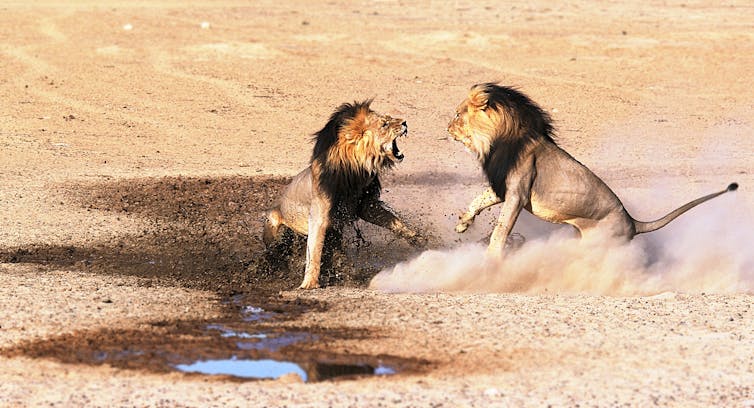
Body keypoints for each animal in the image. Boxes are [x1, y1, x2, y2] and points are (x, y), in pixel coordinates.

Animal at [260, 100, 424, 288]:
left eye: (390, 118)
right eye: (384, 124)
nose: (405, 122)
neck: (356, 171)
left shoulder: (365, 206)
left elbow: (394, 221)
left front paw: (418, 238)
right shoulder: (319, 217)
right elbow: (314, 252)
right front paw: (309, 284)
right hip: (273, 223)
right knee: (274, 248)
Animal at [446, 82, 736, 258]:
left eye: (458, 114)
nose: (446, 128)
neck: (500, 138)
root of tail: (633, 222)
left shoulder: (518, 192)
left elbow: (501, 228)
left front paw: (492, 258)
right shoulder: (504, 186)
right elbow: (478, 200)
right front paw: (462, 224)